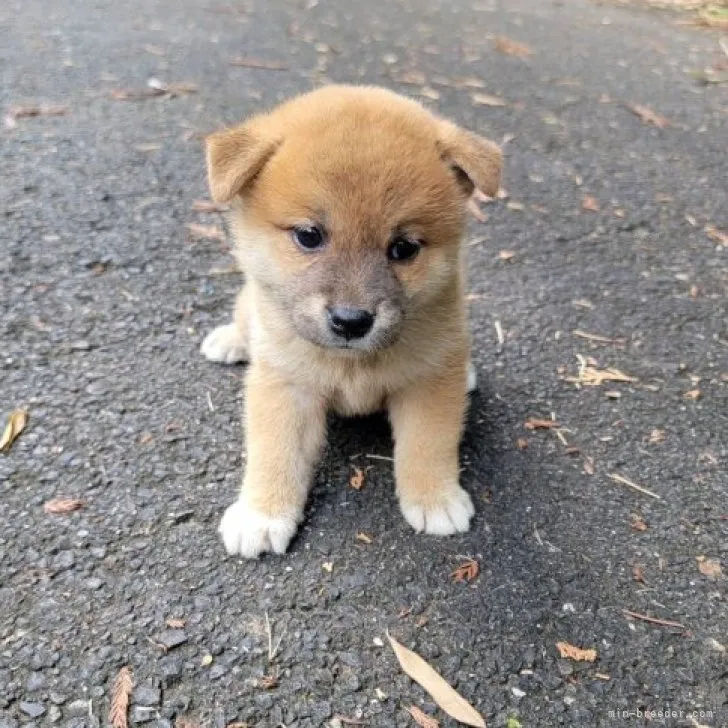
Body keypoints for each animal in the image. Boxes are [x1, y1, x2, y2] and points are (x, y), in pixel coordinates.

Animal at [202, 84, 504, 556]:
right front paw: (262, 514)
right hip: (252, 308)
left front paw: (435, 498)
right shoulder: (285, 385)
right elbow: (275, 450)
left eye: (404, 248)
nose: (351, 321)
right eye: (309, 236)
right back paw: (229, 340)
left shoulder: (429, 381)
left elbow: (428, 444)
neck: (353, 365)